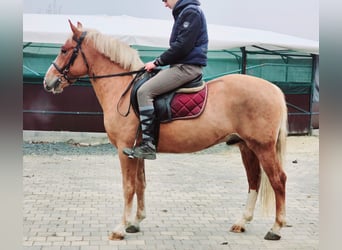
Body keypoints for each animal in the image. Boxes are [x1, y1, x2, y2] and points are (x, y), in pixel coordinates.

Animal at [43, 20, 288, 241]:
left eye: (64, 50)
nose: (48, 82)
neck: (124, 89)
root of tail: (273, 89)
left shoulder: (124, 150)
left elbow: (128, 187)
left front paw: (120, 228)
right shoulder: (137, 152)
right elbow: (140, 184)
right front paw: (136, 222)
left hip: (262, 147)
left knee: (278, 180)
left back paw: (275, 229)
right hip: (246, 146)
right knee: (254, 180)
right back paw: (242, 222)